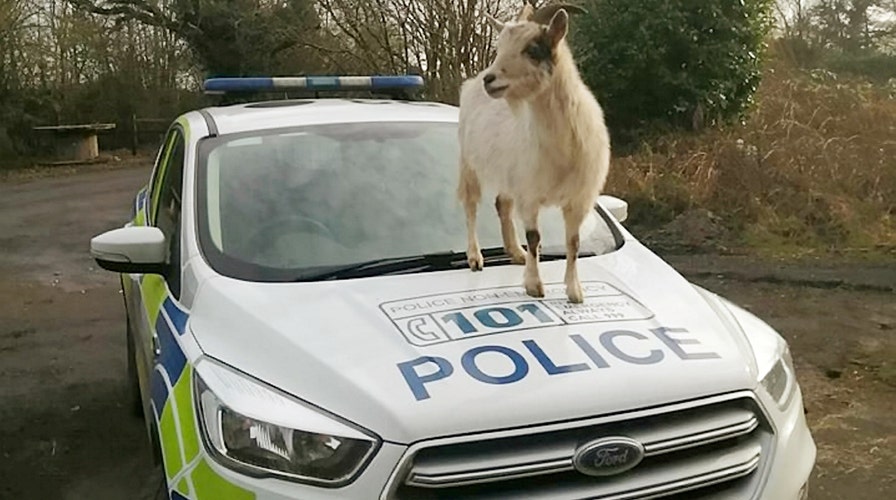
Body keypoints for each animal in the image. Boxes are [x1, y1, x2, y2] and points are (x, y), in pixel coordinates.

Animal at [458, 0, 612, 302]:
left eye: (532, 49)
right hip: (469, 162)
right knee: (470, 206)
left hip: (508, 176)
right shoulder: (529, 195)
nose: (490, 80)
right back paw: (475, 257)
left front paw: (575, 291)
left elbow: (573, 242)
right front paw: (534, 286)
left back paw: (515, 253)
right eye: (500, 47)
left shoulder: (579, 199)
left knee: (502, 204)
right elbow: (535, 238)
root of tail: (471, 81)